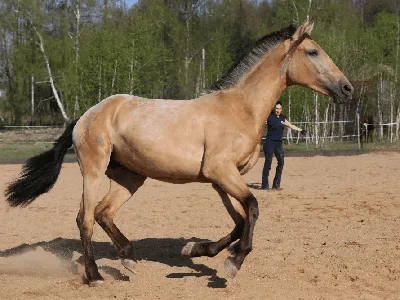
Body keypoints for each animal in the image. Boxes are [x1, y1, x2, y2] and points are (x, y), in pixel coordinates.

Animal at [3, 19, 354, 288]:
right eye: (313, 51)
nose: (347, 88)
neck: (240, 109)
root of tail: (86, 116)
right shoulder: (220, 172)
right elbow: (253, 208)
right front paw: (233, 264)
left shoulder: (221, 179)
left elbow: (239, 221)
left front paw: (196, 250)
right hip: (93, 170)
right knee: (85, 218)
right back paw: (95, 276)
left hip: (131, 177)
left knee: (104, 213)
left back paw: (129, 259)